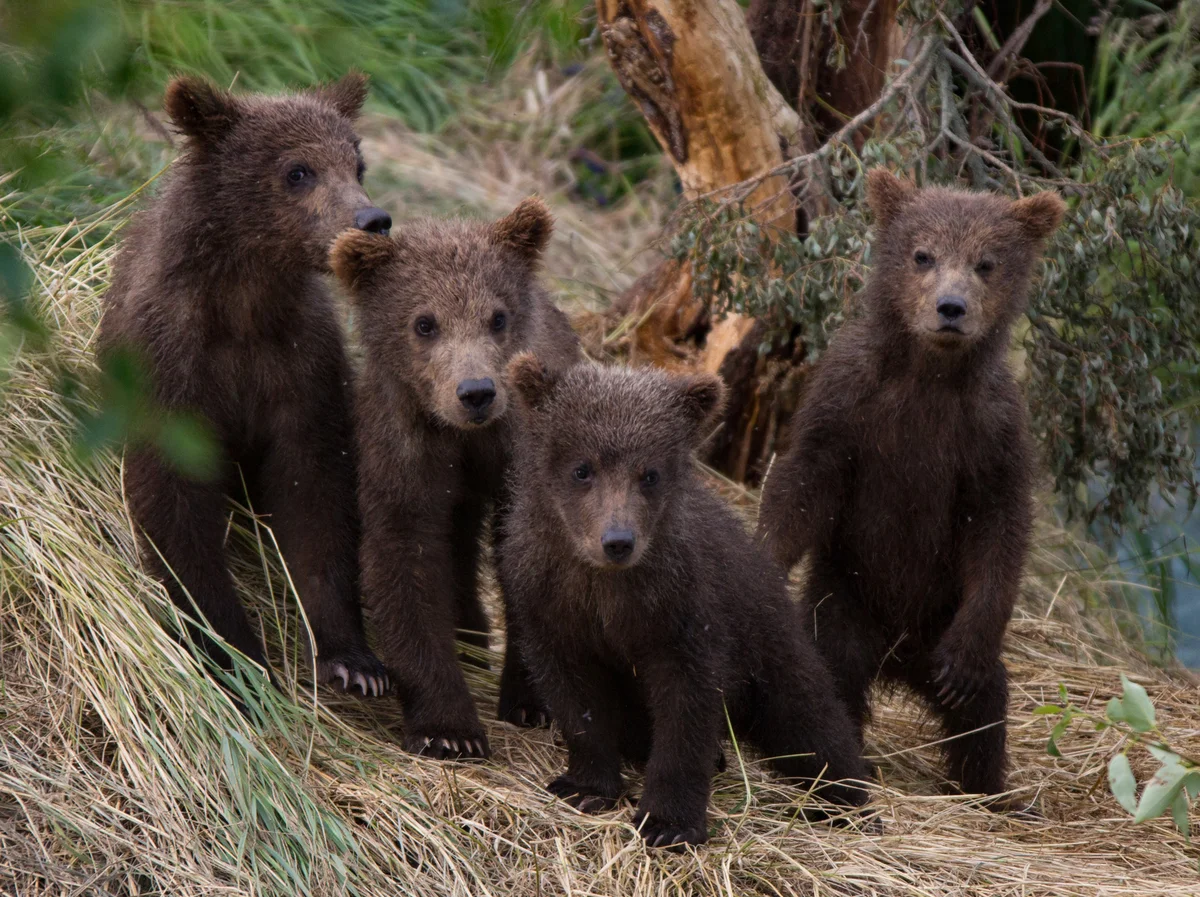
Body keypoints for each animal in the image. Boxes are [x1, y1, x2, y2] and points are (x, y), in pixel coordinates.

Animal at [97, 73, 390, 696]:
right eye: (298, 170)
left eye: (357, 164)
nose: (373, 220)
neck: (243, 305)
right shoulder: (172, 362)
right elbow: (174, 505)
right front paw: (235, 654)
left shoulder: (300, 367)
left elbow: (316, 495)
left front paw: (354, 661)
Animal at [329, 197, 580, 760]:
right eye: (425, 323)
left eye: (497, 316)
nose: (476, 391)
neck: (466, 438)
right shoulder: (404, 446)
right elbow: (405, 557)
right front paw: (448, 729)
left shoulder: (523, 452)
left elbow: (530, 559)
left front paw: (532, 700)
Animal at [497, 356, 870, 850]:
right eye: (582, 468)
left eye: (649, 473)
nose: (618, 541)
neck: (604, 588)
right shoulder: (552, 605)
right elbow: (575, 697)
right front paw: (585, 786)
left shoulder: (682, 614)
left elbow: (686, 712)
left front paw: (667, 822)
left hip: (768, 640)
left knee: (810, 716)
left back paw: (847, 798)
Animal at [757, 168, 1066, 802]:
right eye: (922, 254)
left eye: (987, 262)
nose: (951, 307)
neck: (929, 375)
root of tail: (898, 662)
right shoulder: (847, 407)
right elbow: (802, 488)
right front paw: (764, 562)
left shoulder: (991, 434)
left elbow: (1001, 527)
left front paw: (964, 670)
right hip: (845, 605)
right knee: (833, 673)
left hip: (937, 619)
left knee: (984, 708)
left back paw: (990, 789)